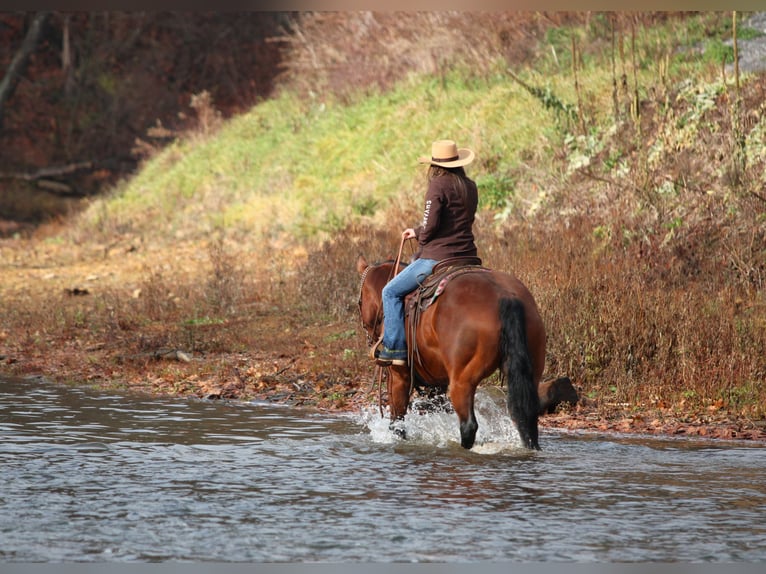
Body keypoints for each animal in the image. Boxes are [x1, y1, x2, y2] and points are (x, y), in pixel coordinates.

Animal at [356, 254, 546, 450]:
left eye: (360, 300)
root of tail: (505, 297)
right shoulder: (437, 383)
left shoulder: (398, 376)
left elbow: (397, 422)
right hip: (530, 372)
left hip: (462, 381)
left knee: (468, 425)